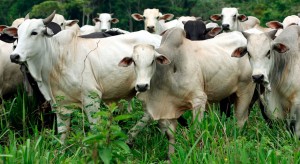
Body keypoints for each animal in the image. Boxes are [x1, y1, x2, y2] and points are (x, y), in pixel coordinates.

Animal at [7, 11, 162, 142]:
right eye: (17, 34)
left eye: (34, 32)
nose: (14, 56)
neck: (56, 58)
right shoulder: (59, 106)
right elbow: (62, 136)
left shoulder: (91, 98)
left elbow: (95, 131)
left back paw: (130, 136)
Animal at [118, 27, 254, 158]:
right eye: (134, 62)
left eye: (152, 61)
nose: (141, 86)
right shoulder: (170, 106)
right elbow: (170, 134)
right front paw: (171, 157)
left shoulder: (199, 100)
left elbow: (197, 130)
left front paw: (198, 152)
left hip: (246, 90)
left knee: (240, 120)